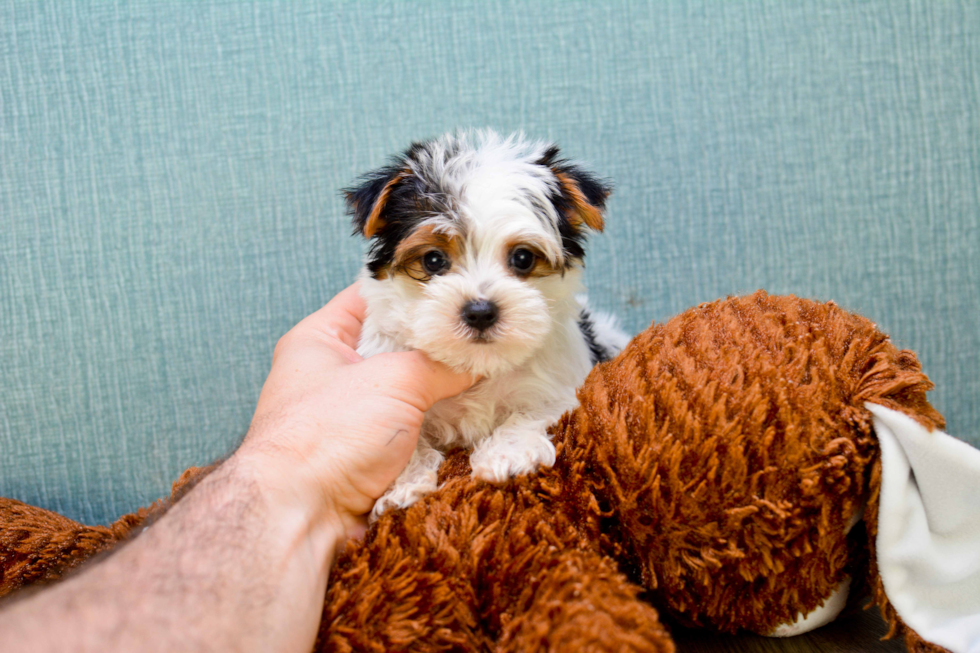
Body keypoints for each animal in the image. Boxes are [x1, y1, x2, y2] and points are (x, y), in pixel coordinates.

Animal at [348, 131, 632, 520]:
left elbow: (536, 408)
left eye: (523, 258)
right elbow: (405, 439)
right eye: (433, 260)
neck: (481, 363)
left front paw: (508, 455)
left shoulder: (559, 382)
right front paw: (401, 486)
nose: (480, 311)